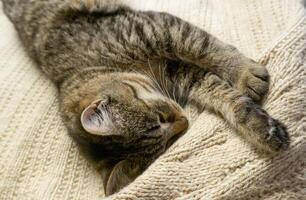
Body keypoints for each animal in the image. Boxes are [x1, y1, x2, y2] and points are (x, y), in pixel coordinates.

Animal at [2, 0, 290, 197]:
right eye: (166, 144)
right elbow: (223, 95)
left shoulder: (155, 29)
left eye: (160, 118)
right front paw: (259, 126)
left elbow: (205, 47)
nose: (184, 122)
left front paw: (244, 73)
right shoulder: (180, 74)